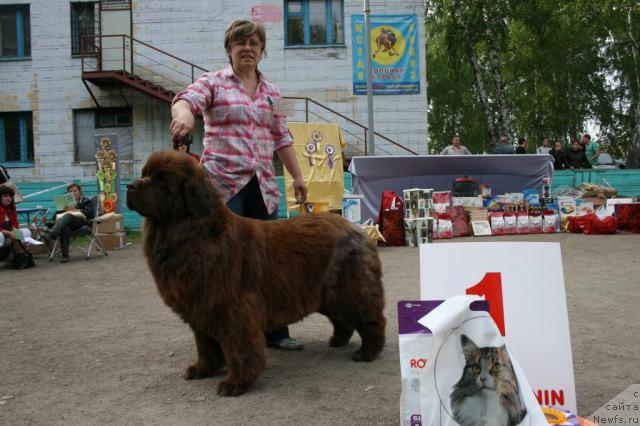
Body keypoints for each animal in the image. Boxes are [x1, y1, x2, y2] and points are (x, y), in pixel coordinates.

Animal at [125, 152, 384, 396]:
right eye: (145, 174)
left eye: (161, 181)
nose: (130, 186)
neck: (193, 233)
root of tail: (357, 228)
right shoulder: (201, 305)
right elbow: (205, 344)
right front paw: (203, 369)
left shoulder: (232, 308)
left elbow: (238, 348)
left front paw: (235, 383)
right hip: (329, 294)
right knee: (342, 318)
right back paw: (338, 340)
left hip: (351, 289)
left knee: (371, 318)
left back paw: (368, 352)